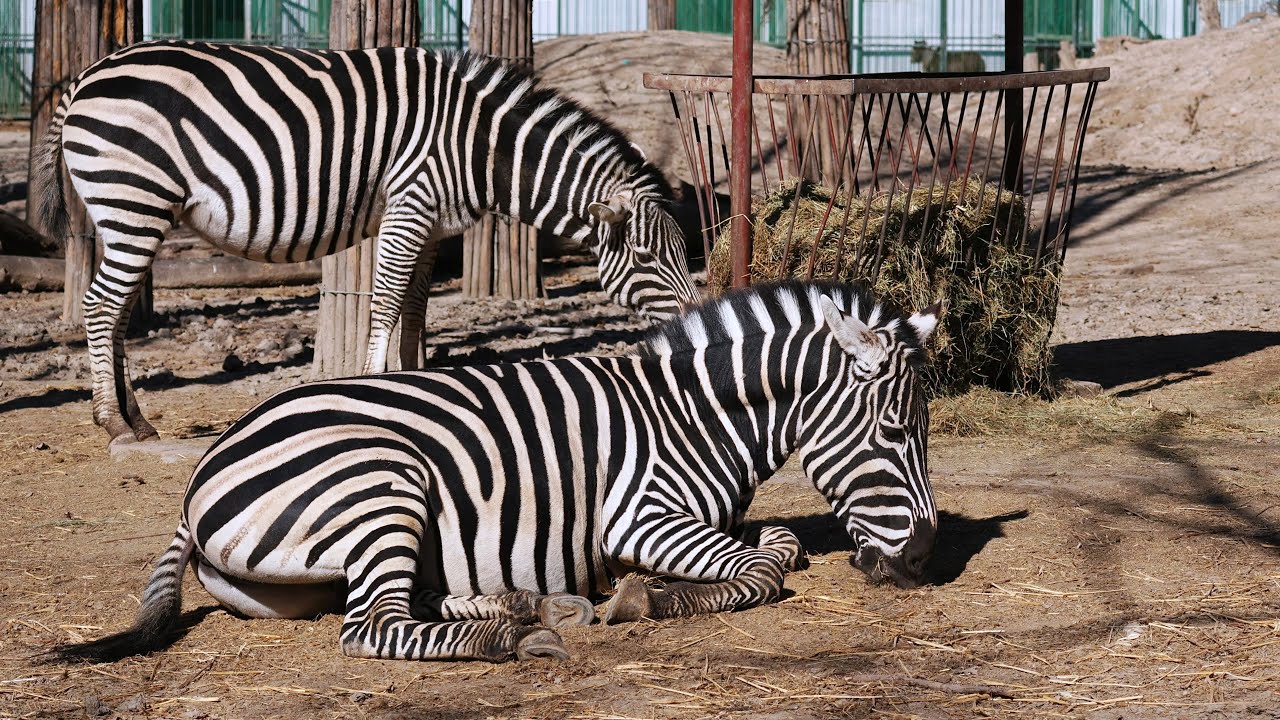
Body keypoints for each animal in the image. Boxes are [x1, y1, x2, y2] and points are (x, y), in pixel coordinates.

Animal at [29, 41, 701, 447]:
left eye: (680, 254)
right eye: (647, 258)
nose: (693, 325)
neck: (480, 147)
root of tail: (87, 74)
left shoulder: (431, 223)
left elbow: (416, 309)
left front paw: (418, 383)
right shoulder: (411, 201)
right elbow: (386, 303)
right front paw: (378, 387)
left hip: (123, 209)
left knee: (114, 309)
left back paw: (136, 419)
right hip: (132, 198)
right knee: (100, 306)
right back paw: (112, 422)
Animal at [50, 280, 939, 664]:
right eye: (896, 431)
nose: (927, 562)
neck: (694, 413)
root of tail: (204, 471)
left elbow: (781, 539)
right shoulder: (639, 516)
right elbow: (763, 571)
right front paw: (645, 598)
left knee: (404, 601)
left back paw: (532, 603)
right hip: (385, 482)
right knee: (373, 625)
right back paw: (519, 631)